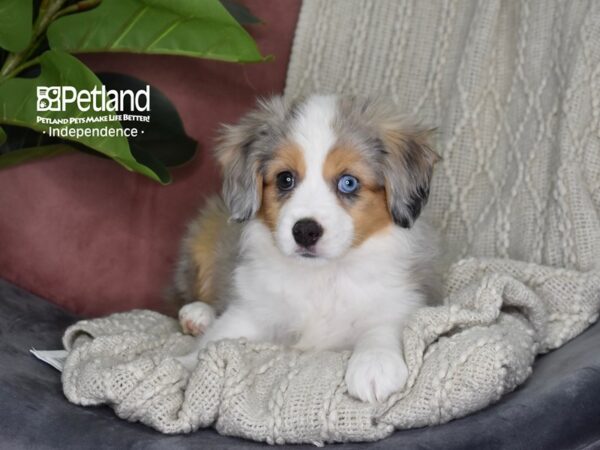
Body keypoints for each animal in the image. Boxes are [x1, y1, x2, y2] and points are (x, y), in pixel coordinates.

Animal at [169, 95, 440, 404]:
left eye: (348, 182)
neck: (321, 277)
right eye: (285, 179)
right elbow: (217, 339)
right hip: (202, 241)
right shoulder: (253, 310)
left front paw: (375, 364)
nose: (305, 232)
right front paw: (185, 365)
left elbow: (382, 327)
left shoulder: (399, 299)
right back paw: (197, 315)